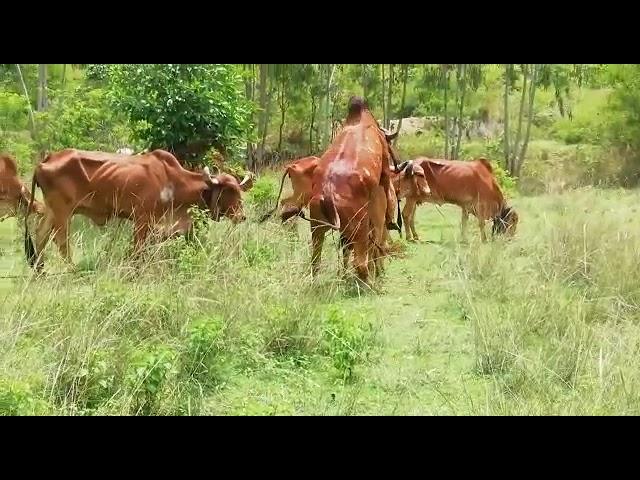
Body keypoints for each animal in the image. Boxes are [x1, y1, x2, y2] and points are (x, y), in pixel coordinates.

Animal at [25, 149, 255, 270]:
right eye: (227, 191)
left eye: (239, 191)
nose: (241, 216)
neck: (172, 181)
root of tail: (46, 161)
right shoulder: (142, 219)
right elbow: (137, 250)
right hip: (63, 211)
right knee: (61, 241)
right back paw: (70, 269)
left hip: (51, 210)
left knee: (40, 235)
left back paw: (40, 271)